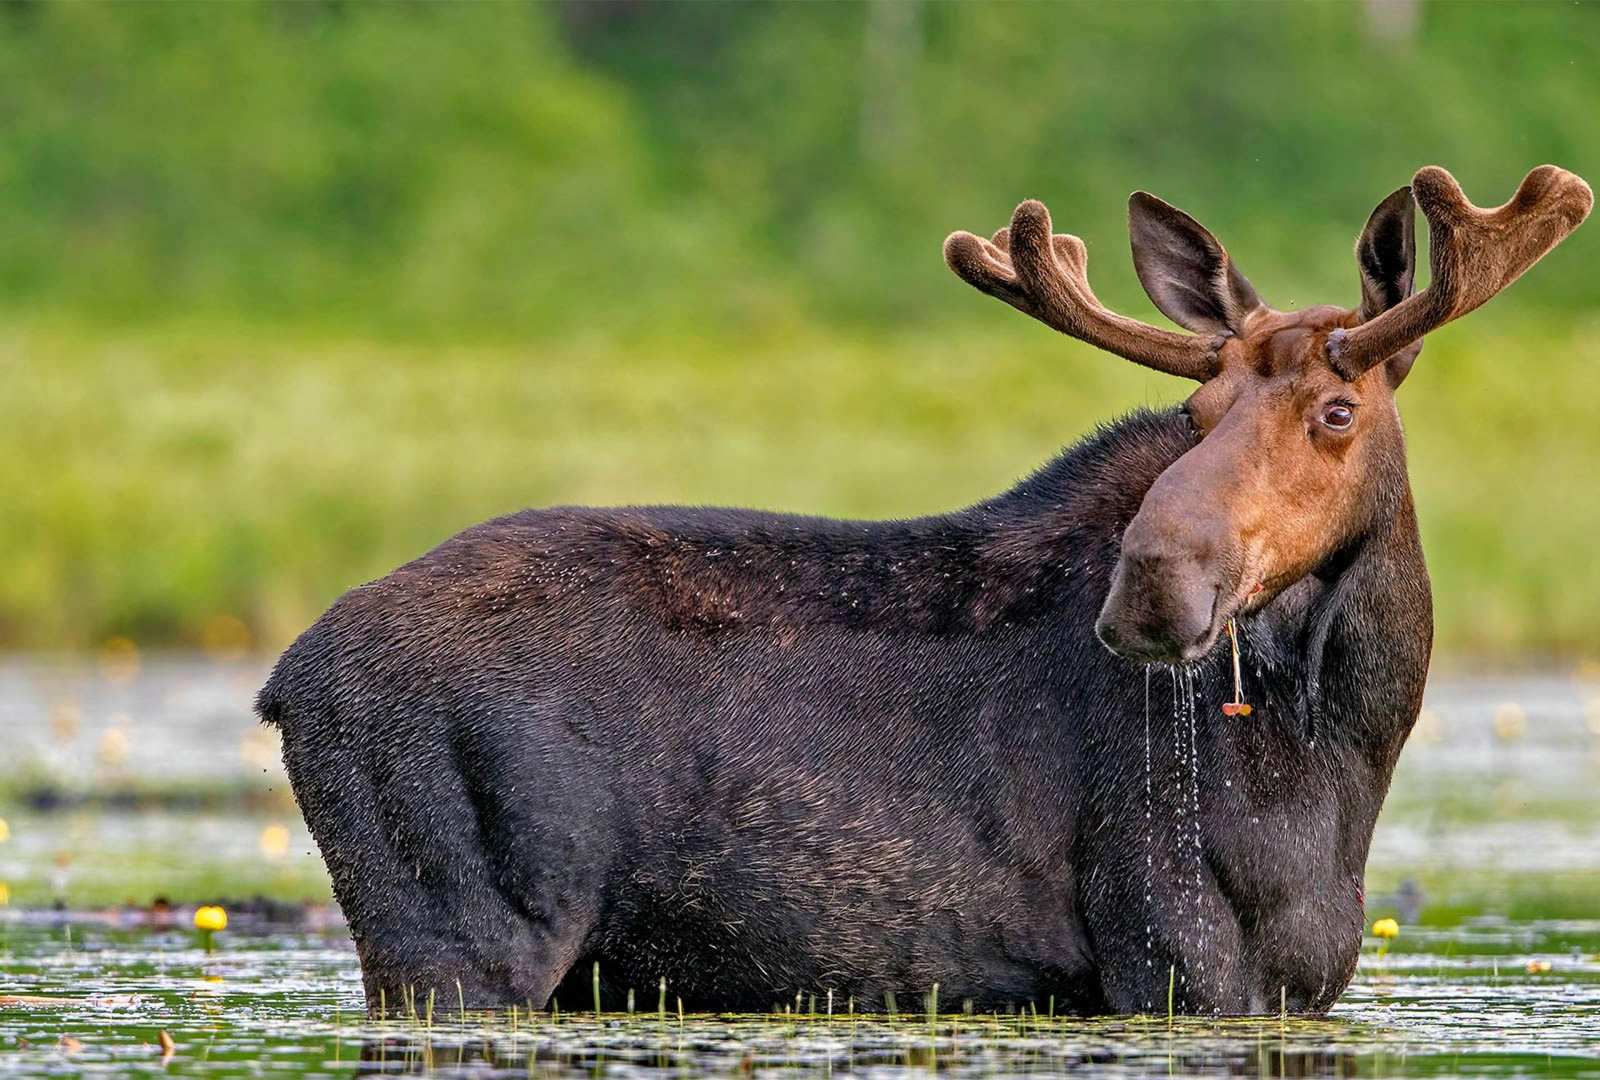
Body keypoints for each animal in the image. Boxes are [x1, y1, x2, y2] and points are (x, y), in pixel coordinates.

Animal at [258, 165, 1589, 1017]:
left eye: (1335, 410)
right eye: (1196, 411)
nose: (1153, 586)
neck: (1345, 744)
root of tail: (285, 681)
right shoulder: (1169, 947)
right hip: (459, 937)